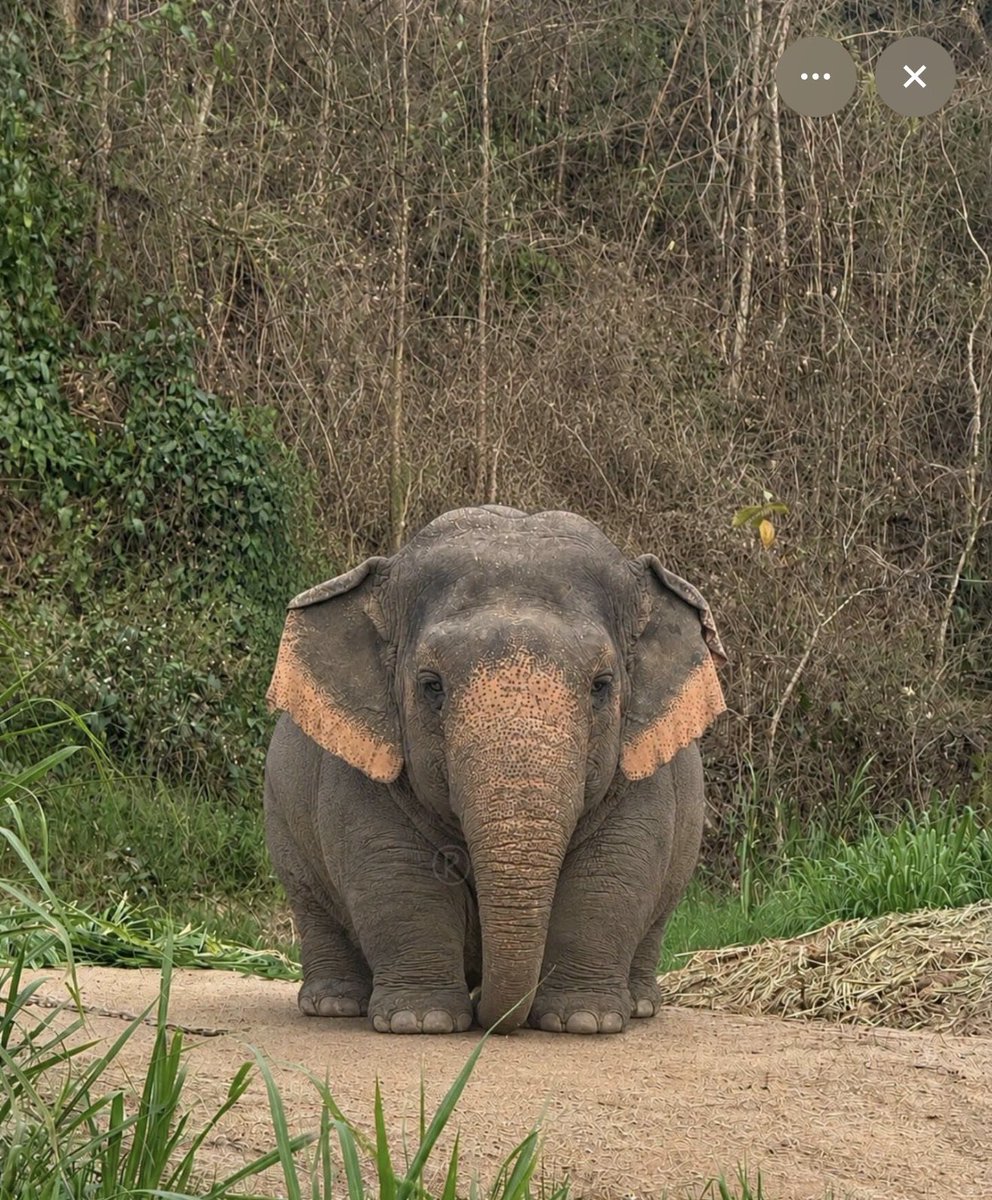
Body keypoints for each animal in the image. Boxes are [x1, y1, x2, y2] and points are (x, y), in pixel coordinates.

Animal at [263, 505, 726, 1035]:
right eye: (431, 685)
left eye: (602, 685)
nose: (492, 1014)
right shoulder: (362, 766)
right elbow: (395, 870)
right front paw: (420, 1021)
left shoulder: (641, 765)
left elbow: (613, 869)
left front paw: (583, 1021)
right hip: (282, 821)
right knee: (312, 903)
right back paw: (334, 1005)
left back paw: (642, 1005)